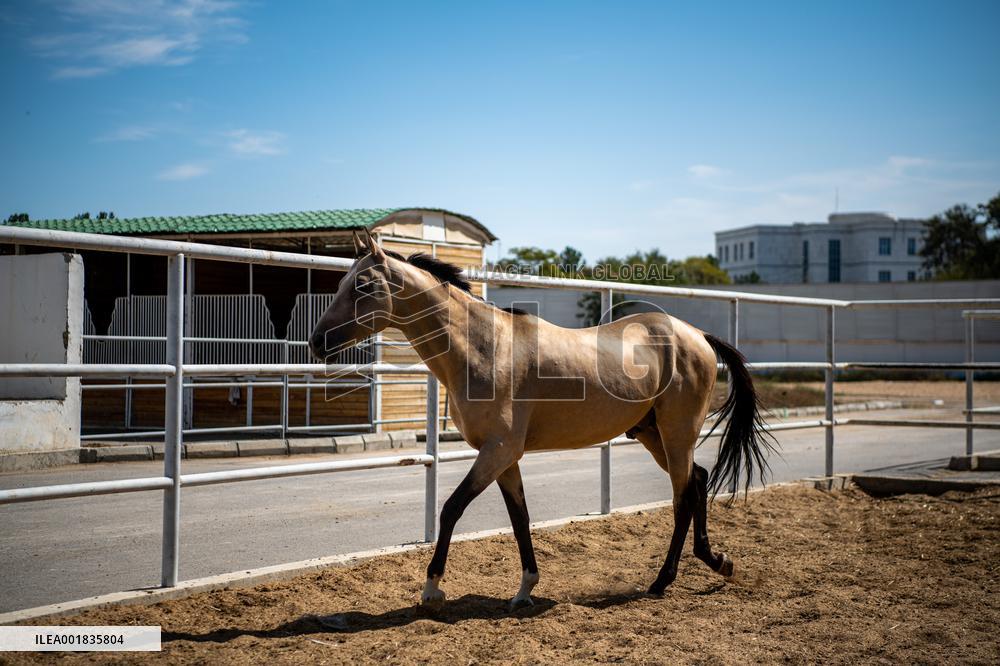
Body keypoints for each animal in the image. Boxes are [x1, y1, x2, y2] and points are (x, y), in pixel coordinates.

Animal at [309, 230, 774, 610]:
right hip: (652, 434)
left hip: (677, 433)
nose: (317, 341)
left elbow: (451, 508)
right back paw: (718, 561)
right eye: (340, 284)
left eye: (363, 285)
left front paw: (431, 589)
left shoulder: (498, 451)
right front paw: (525, 589)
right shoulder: (505, 458)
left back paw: (663, 581)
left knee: (682, 497)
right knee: (697, 481)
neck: (484, 348)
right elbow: (520, 519)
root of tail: (697, 336)